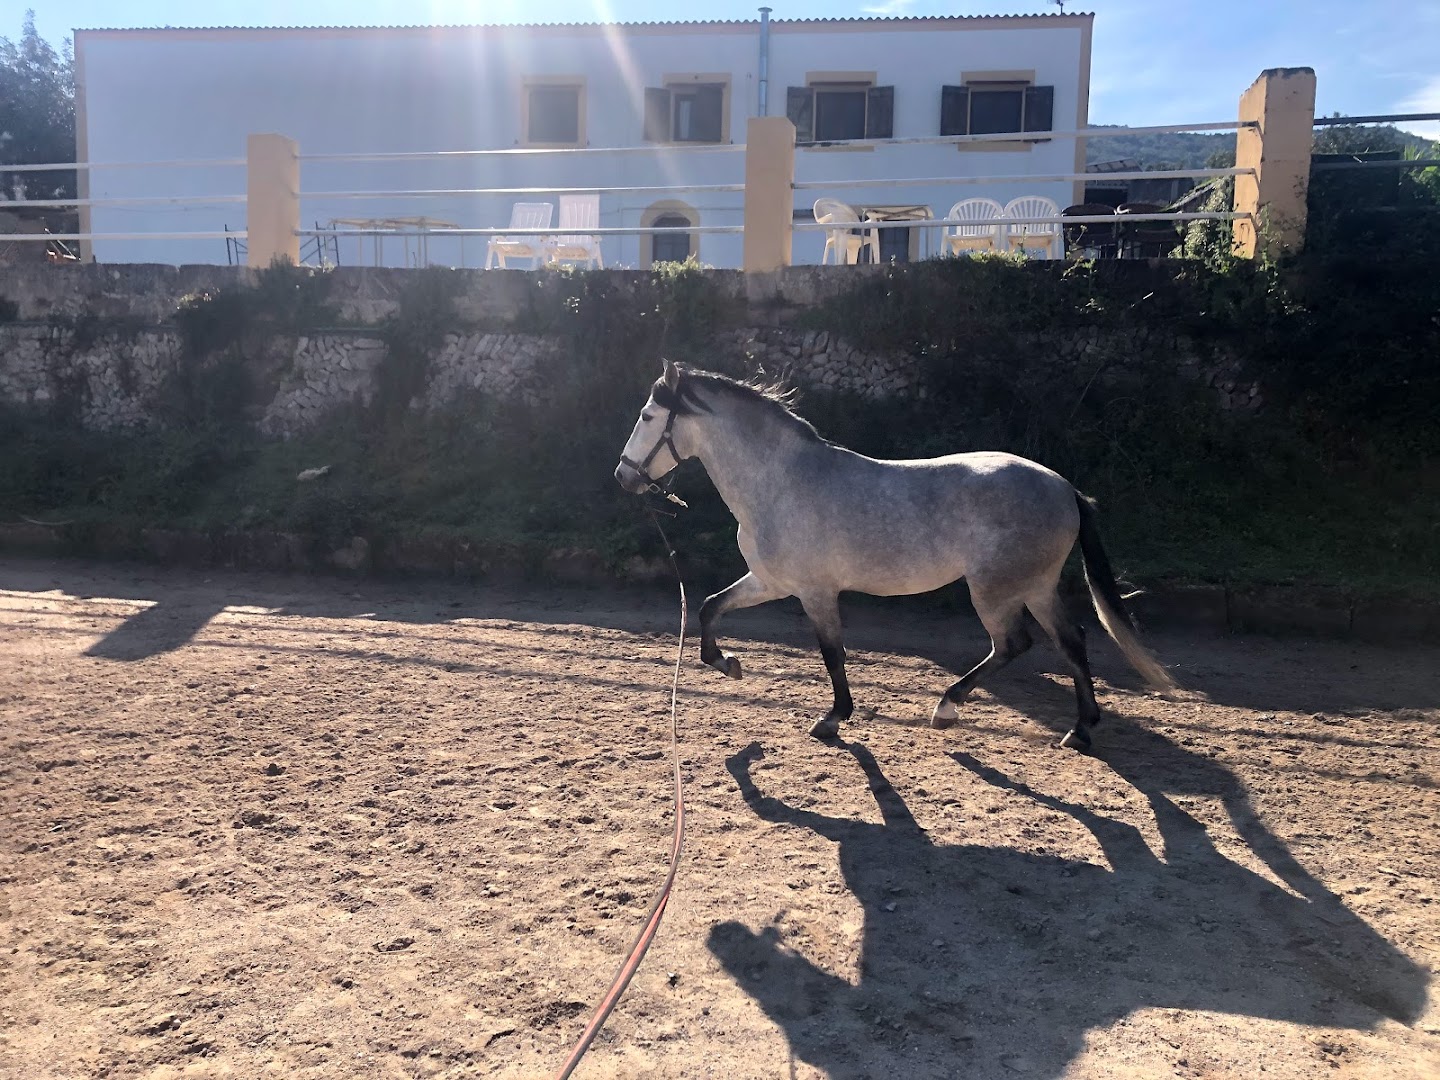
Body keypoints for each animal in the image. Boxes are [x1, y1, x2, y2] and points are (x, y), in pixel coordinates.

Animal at [613, 364, 1175, 754]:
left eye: (646, 416)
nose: (622, 476)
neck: (781, 482)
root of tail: (1065, 488)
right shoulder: (769, 580)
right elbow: (709, 606)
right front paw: (728, 664)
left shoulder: (815, 592)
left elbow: (833, 653)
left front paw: (833, 718)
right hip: (1035, 588)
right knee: (1071, 642)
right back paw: (1080, 730)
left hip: (994, 591)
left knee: (1015, 643)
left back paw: (949, 707)